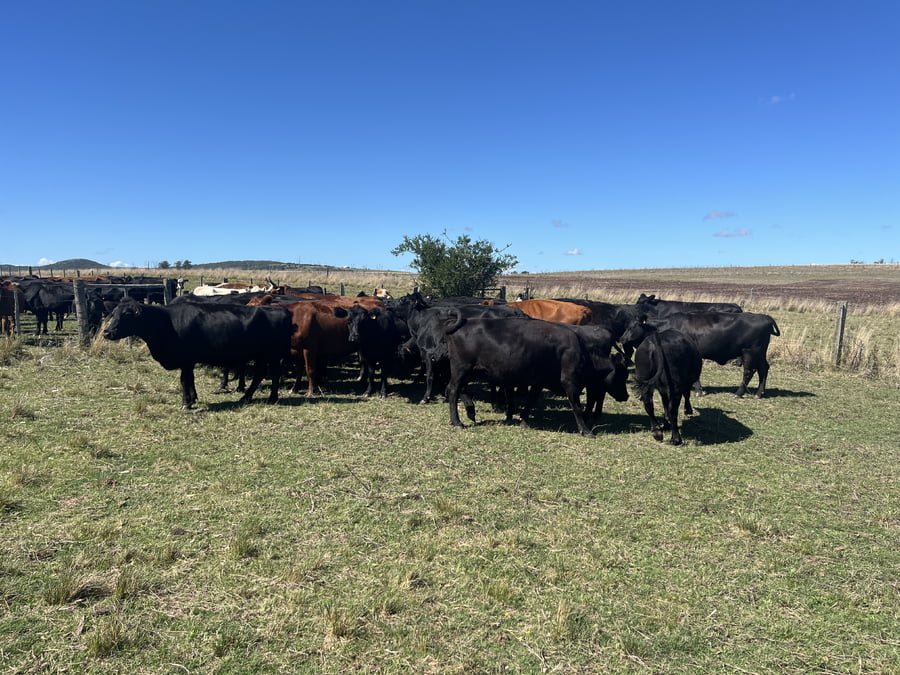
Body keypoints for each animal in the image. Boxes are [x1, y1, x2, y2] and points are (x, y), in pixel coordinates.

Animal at [102, 298, 292, 409]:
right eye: (113, 314)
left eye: (127, 315)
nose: (107, 333)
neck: (166, 322)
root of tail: (282, 309)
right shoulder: (189, 362)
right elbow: (189, 380)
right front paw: (193, 398)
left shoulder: (186, 360)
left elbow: (184, 380)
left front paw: (186, 403)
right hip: (262, 355)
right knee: (260, 374)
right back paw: (246, 397)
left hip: (273, 354)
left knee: (274, 373)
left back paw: (272, 398)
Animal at [443, 316, 618, 436]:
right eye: (620, 377)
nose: (623, 396)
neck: (584, 353)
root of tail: (465, 321)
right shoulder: (569, 381)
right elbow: (576, 407)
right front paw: (586, 430)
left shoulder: (539, 381)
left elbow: (531, 400)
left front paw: (524, 420)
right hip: (462, 369)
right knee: (453, 390)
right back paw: (457, 421)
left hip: (467, 371)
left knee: (456, 389)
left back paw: (470, 412)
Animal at [629, 311, 780, 398]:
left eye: (632, 327)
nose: (623, 338)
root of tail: (765, 317)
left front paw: (697, 391)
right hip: (760, 353)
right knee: (763, 369)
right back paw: (759, 393)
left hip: (750, 351)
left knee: (749, 371)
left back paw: (738, 393)